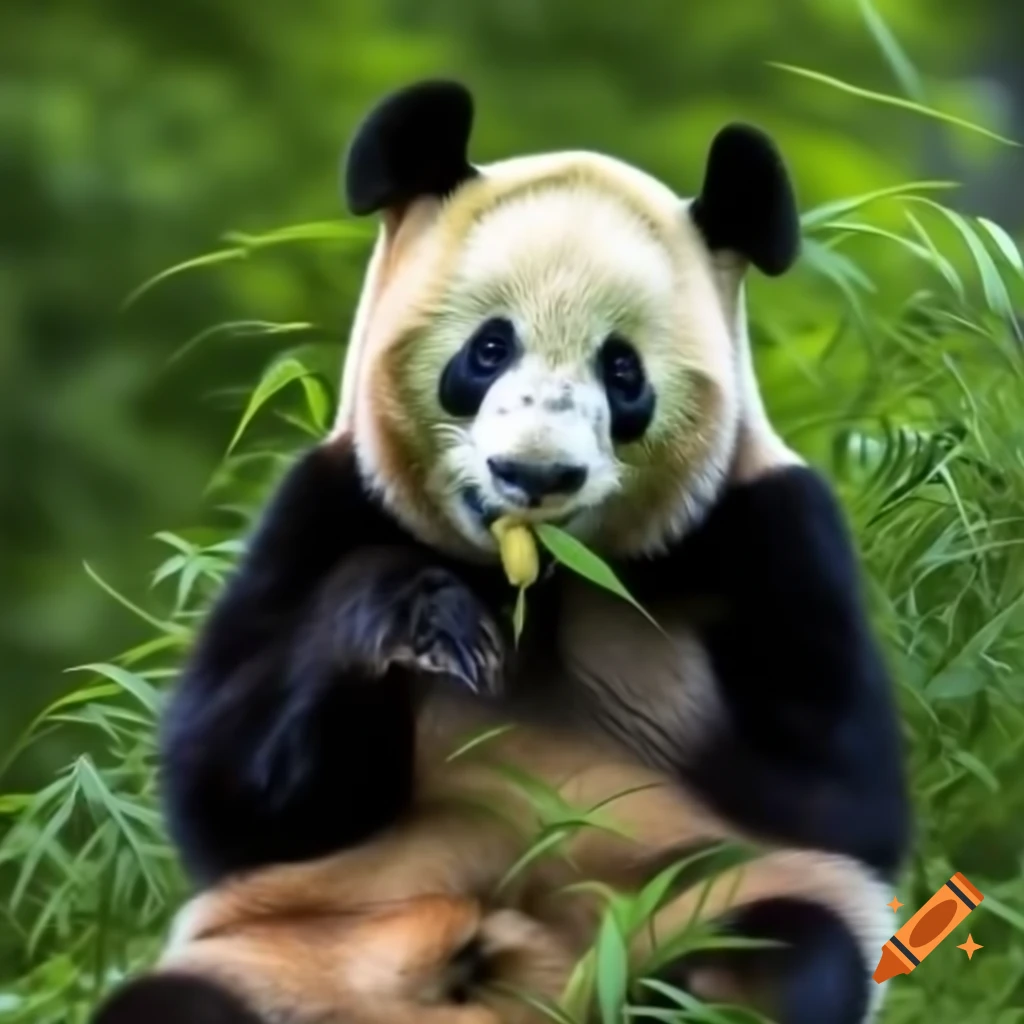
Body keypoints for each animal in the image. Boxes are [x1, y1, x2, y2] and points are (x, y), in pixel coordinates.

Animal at [92, 80, 910, 1024]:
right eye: (488, 349)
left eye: (622, 371)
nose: (535, 474)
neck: (537, 573)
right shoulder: (326, 509)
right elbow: (230, 796)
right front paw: (422, 616)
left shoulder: (774, 531)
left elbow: (843, 794)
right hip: (290, 953)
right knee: (177, 1004)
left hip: (692, 915)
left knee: (782, 962)